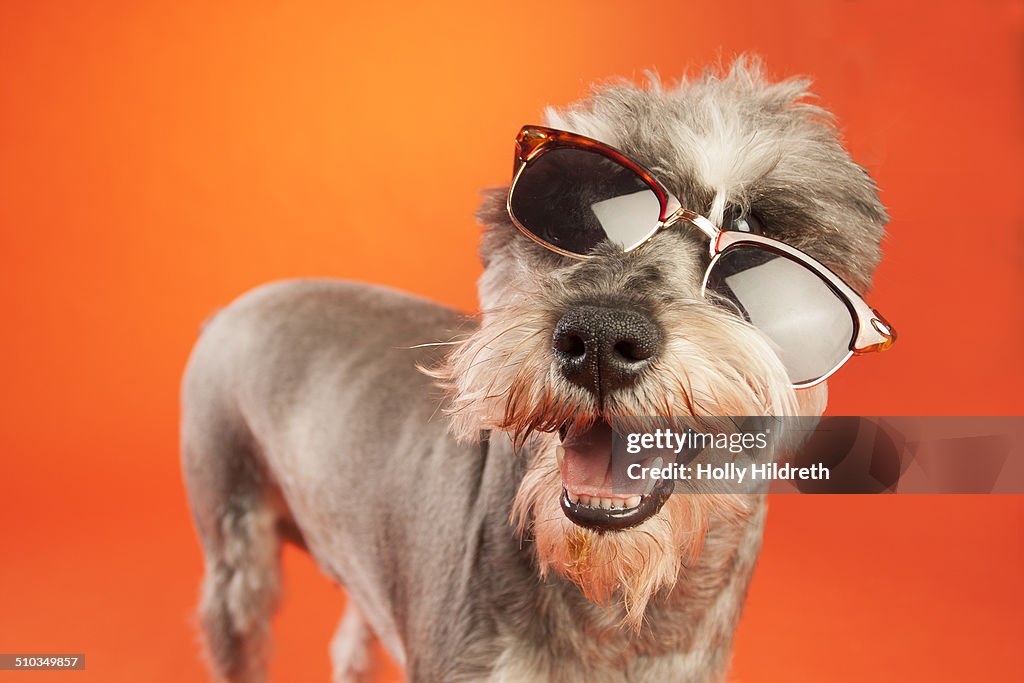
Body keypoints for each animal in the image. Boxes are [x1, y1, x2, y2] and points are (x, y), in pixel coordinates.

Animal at [184, 58, 897, 683]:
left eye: (763, 239)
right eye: (576, 206)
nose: (602, 336)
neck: (615, 613)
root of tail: (232, 307)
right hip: (235, 562)